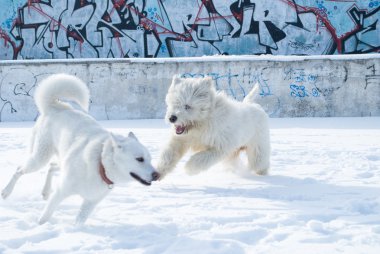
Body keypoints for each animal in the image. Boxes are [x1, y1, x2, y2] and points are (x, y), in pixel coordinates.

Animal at [1, 73, 160, 224]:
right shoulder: (61, 192)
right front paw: (40, 226)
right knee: (19, 170)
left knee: (51, 166)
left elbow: (79, 222)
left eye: (150, 159)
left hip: (61, 159)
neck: (100, 166)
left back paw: (45, 192)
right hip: (39, 158)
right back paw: (6, 192)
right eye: (139, 159)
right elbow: (45, 217)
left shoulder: (90, 203)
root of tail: (55, 106)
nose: (157, 175)